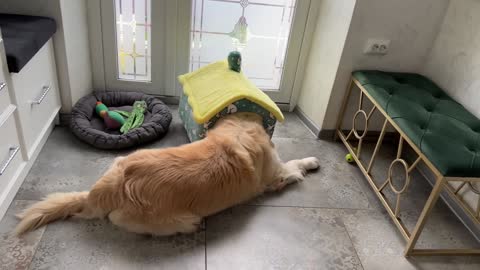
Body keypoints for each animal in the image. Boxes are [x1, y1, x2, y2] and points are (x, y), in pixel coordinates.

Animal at [15, 113, 320, 235]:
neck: (240, 128)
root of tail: (100, 193)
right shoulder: (275, 174)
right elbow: (294, 164)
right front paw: (312, 161)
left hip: (120, 159)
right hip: (184, 220)